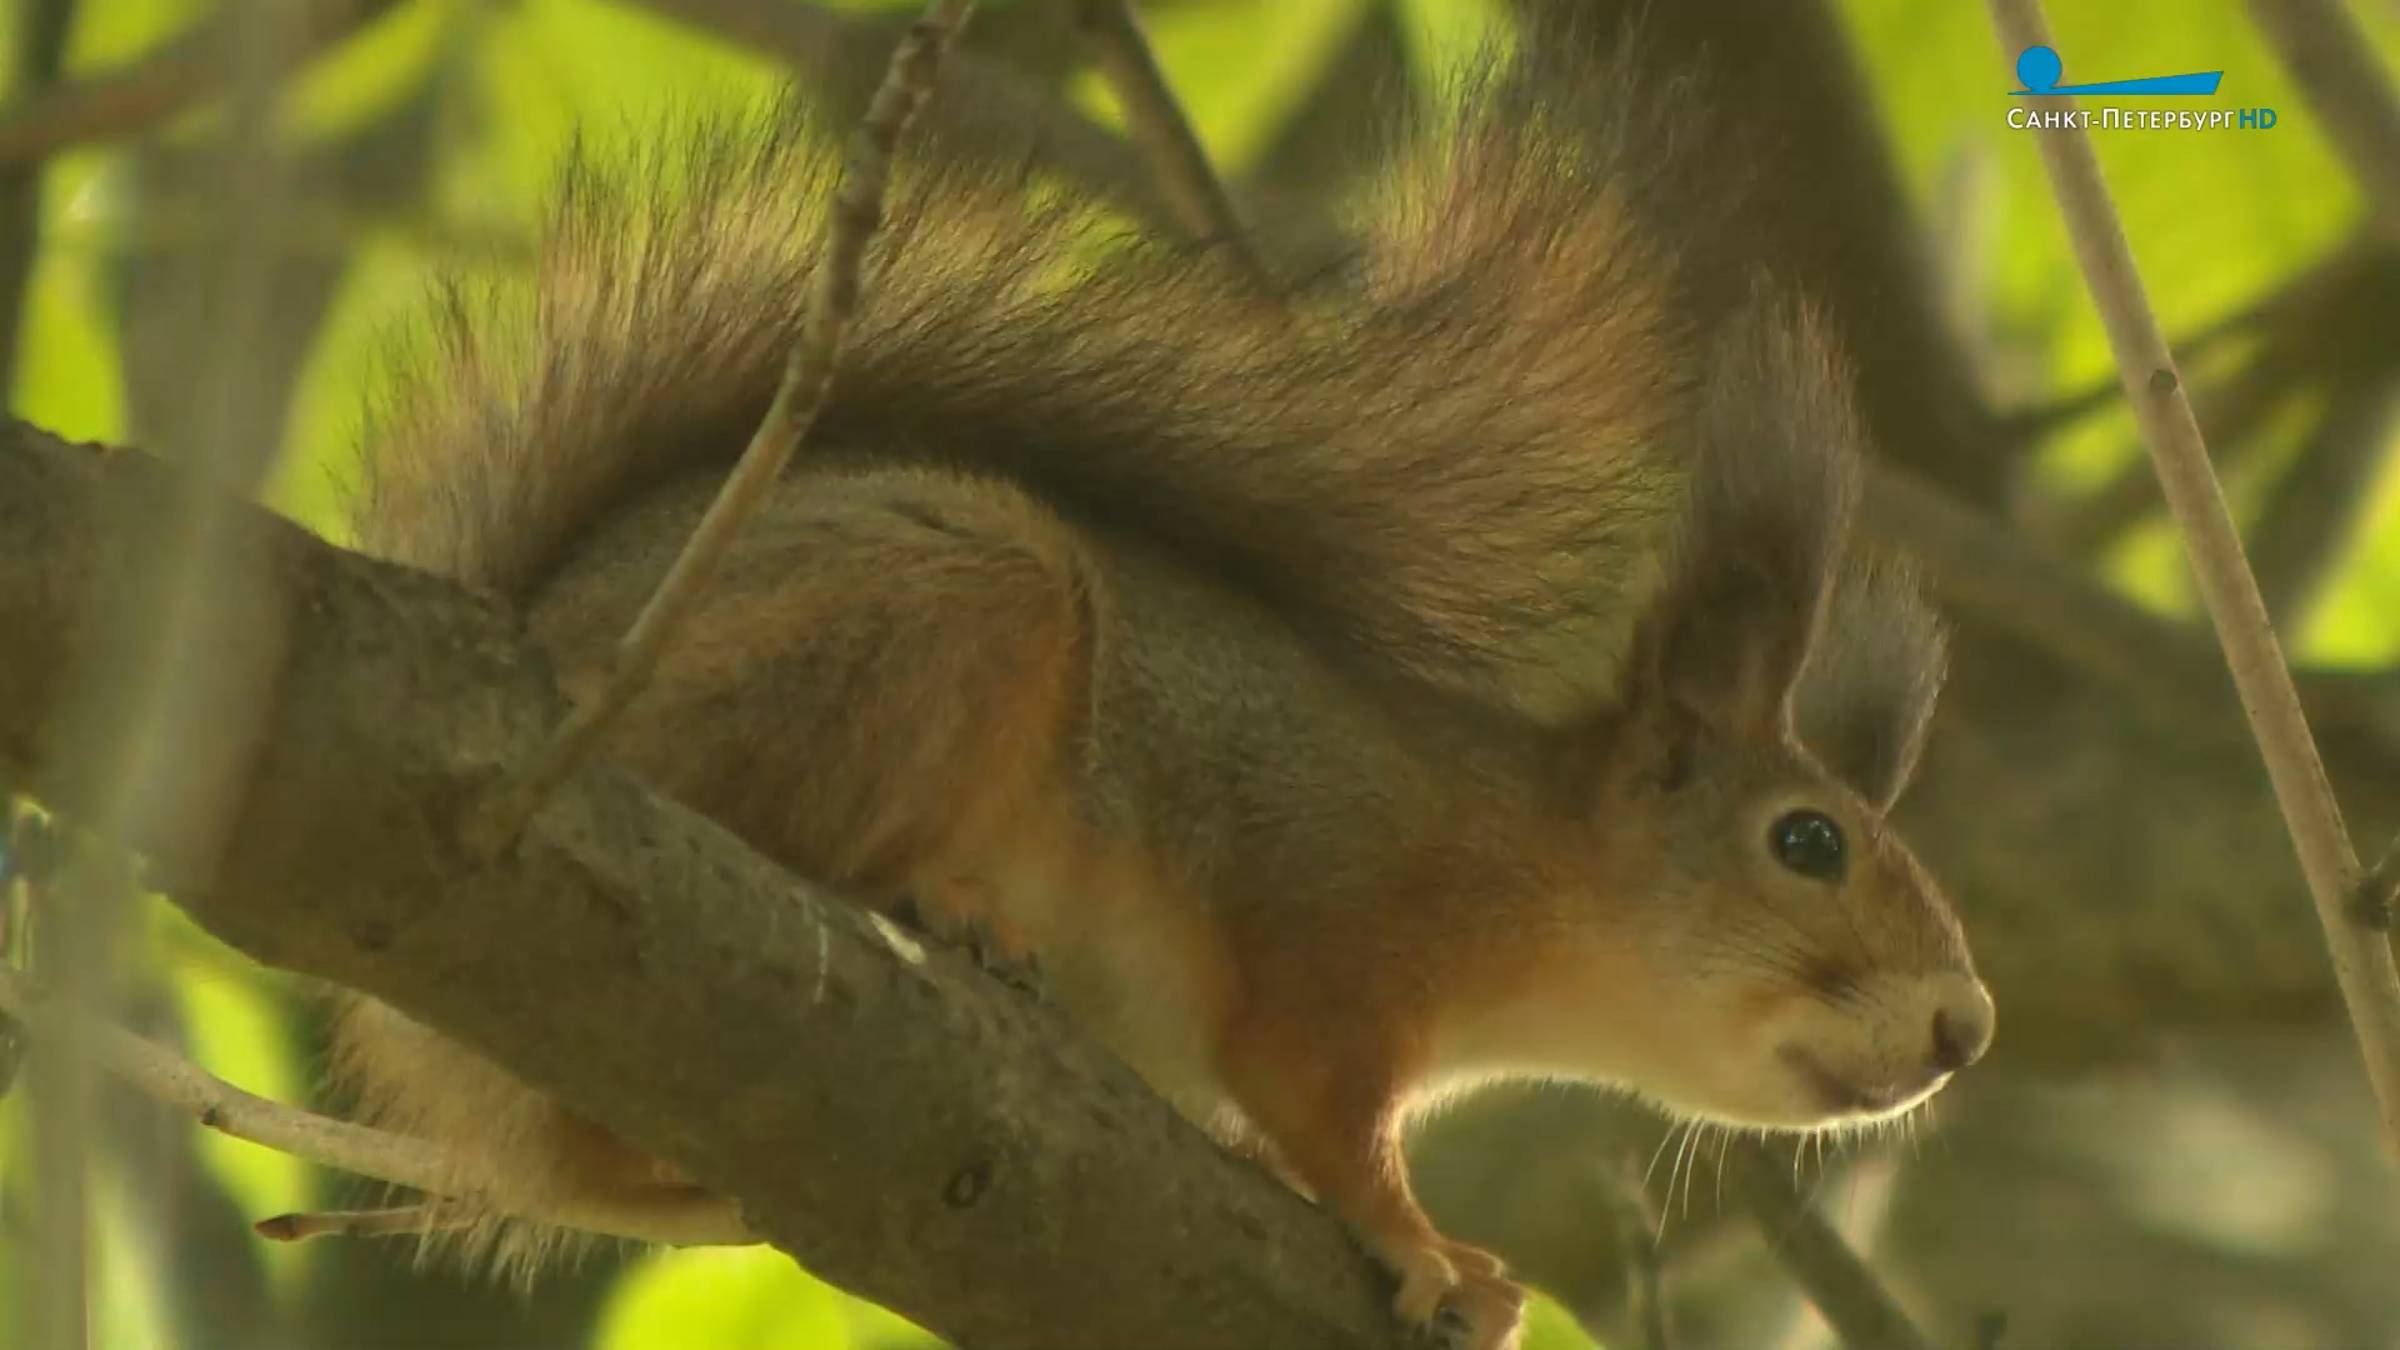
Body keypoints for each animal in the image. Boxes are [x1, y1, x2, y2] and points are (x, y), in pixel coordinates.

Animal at [328, 23, 1996, 1345]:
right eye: (1808, 841)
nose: (1966, 1028)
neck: (1529, 866)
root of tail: (555, 646)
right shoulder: (1330, 921)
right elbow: (1322, 1106)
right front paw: (1429, 1247)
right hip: (936, 605)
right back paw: (948, 906)